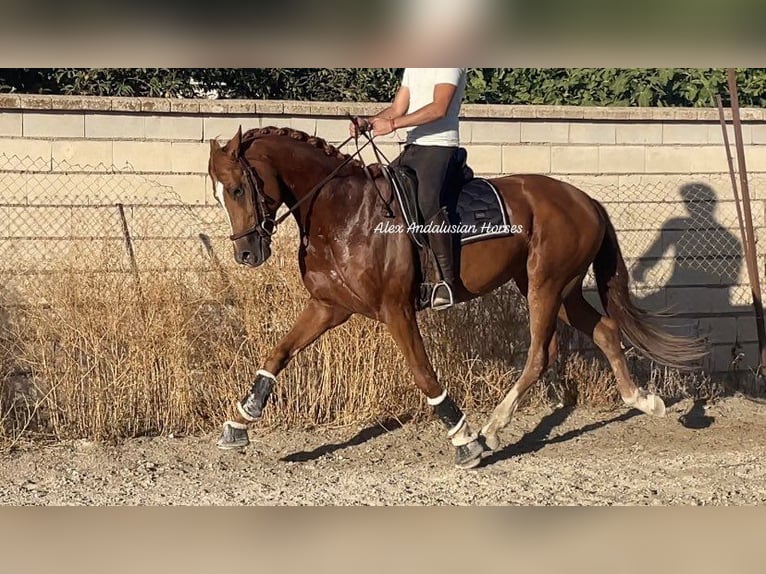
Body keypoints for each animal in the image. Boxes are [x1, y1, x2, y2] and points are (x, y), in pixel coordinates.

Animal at [208, 127, 708, 472]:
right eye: (219, 192)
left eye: (237, 188)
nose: (246, 253)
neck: (345, 210)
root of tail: (584, 198)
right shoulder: (329, 306)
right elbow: (278, 353)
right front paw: (240, 422)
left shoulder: (396, 311)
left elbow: (423, 373)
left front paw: (463, 439)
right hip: (556, 287)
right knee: (604, 329)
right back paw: (643, 400)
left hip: (545, 285)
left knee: (539, 355)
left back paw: (491, 429)